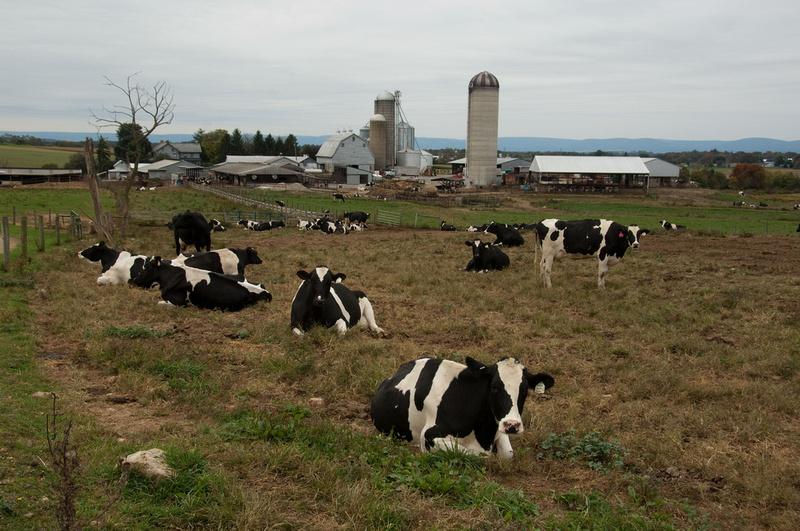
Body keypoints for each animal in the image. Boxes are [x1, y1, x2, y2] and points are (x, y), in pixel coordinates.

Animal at [370, 360, 552, 460]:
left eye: (524, 390)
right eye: (494, 387)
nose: (512, 425)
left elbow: (508, 453)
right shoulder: (428, 434)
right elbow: (478, 455)